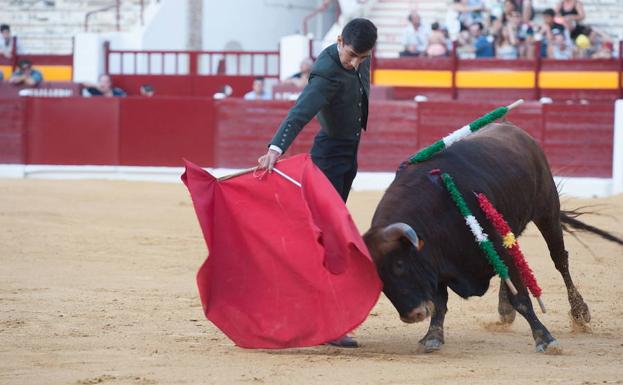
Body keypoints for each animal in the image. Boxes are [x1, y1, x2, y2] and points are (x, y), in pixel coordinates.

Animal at [364, 121, 620, 352]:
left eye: (399, 264)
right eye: (378, 278)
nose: (412, 315)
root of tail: (519, 132)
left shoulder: (491, 245)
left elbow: (522, 298)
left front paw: (545, 338)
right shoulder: (437, 263)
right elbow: (440, 302)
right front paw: (433, 337)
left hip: (547, 209)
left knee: (559, 259)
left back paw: (579, 312)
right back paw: (505, 309)